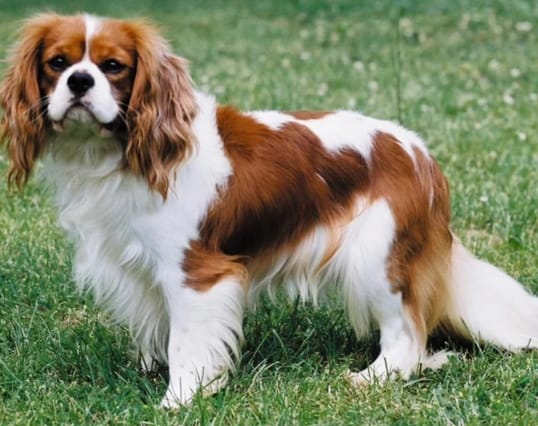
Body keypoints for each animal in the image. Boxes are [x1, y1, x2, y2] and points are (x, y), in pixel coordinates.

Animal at [1, 13, 537, 408]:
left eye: (113, 66)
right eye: (57, 63)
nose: (80, 80)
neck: (118, 154)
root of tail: (421, 154)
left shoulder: (196, 272)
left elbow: (187, 341)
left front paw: (179, 398)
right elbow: (159, 327)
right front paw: (152, 371)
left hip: (376, 258)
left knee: (408, 336)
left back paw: (374, 377)